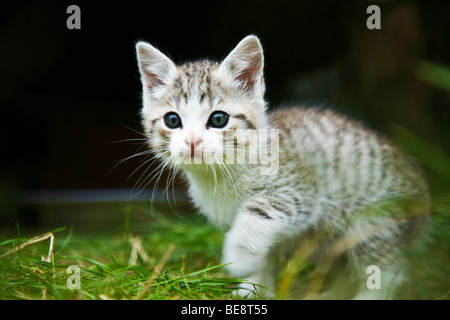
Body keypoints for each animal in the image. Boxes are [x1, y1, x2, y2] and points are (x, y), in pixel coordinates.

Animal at [135, 35, 430, 300]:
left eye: (218, 119)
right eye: (172, 120)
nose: (192, 141)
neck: (220, 172)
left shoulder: (299, 190)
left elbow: (257, 213)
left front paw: (239, 256)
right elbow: (265, 255)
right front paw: (254, 288)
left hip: (376, 221)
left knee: (387, 270)